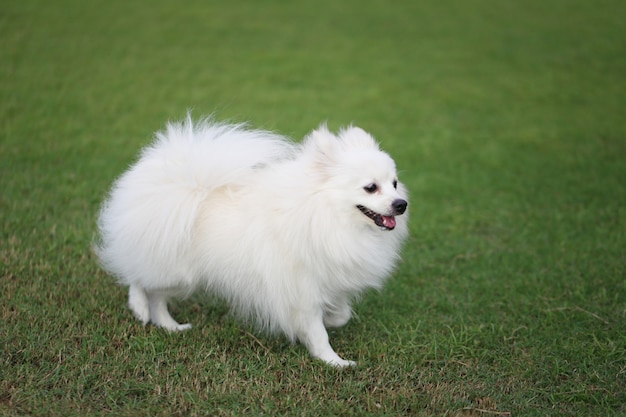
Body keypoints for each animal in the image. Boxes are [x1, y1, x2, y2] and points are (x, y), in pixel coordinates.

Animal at [95, 115, 408, 366]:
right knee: (135, 276)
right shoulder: (299, 289)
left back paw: (170, 326)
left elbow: (341, 313)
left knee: (157, 295)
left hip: (180, 275)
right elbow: (317, 332)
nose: (401, 204)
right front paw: (334, 362)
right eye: (371, 188)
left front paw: (333, 319)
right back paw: (139, 307)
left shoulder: (330, 279)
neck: (323, 215)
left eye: (394, 184)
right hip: (171, 266)